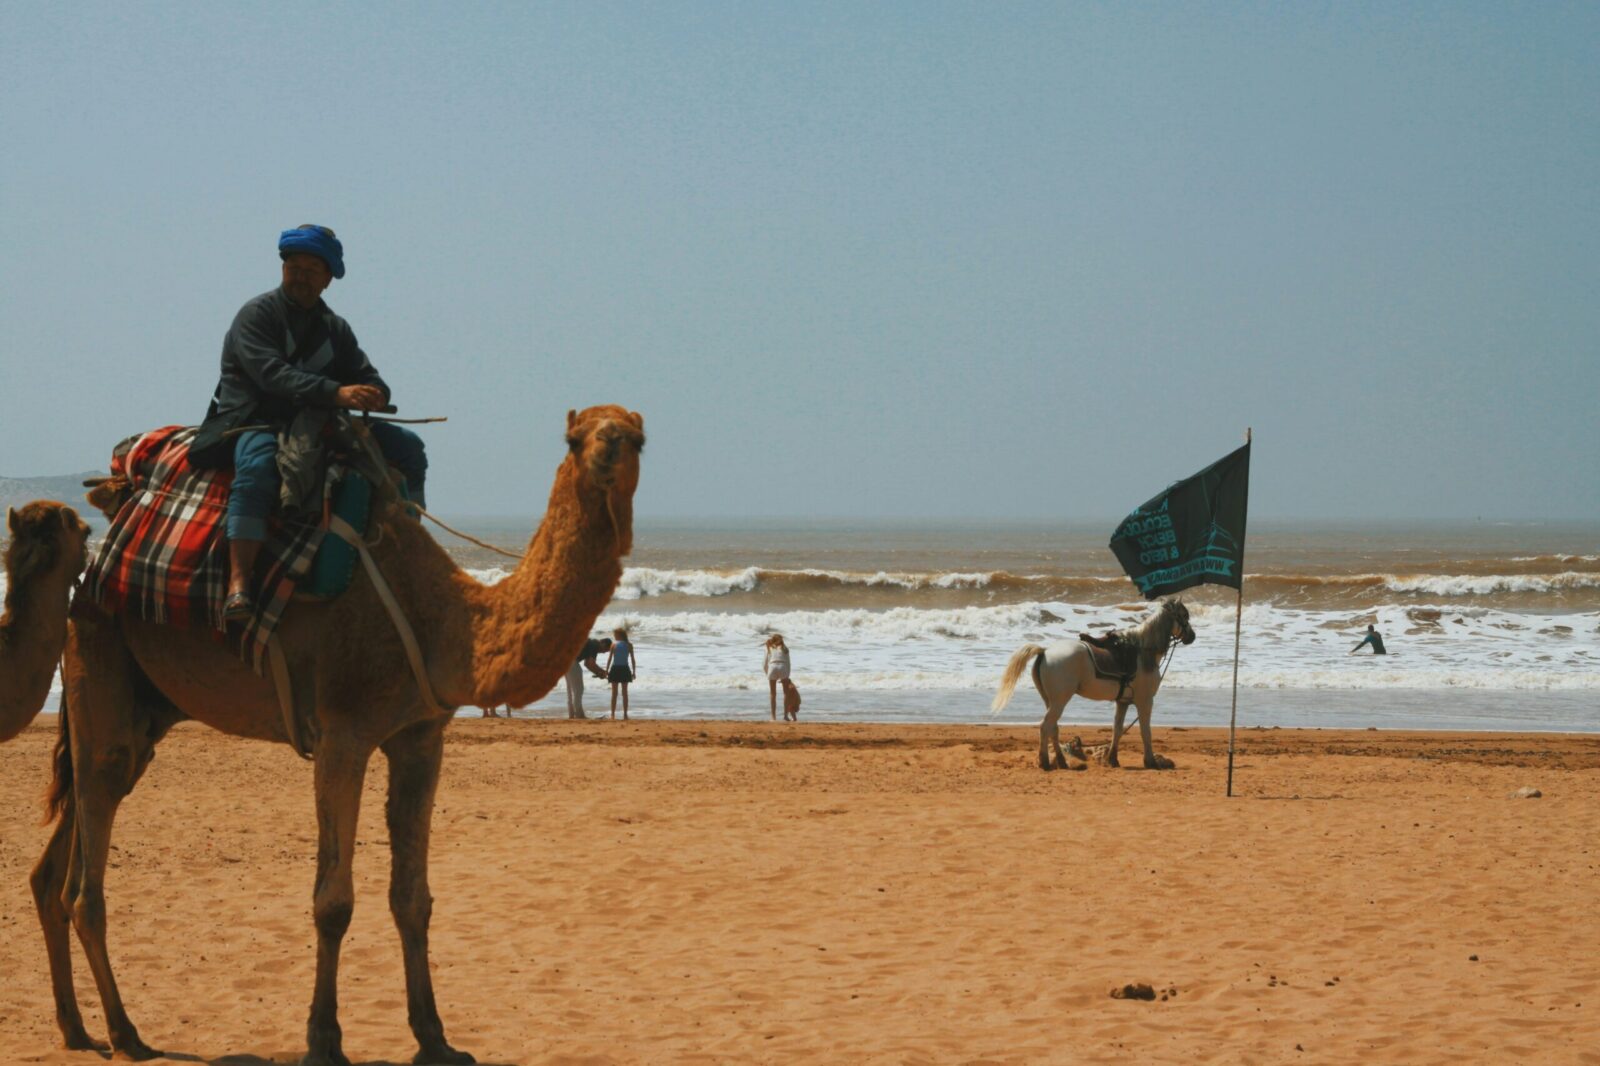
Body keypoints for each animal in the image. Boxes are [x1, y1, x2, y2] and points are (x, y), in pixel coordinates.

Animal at [33, 405, 644, 1065]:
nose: (609, 449)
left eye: (637, 437)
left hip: (144, 709)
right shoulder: (341, 732)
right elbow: (333, 901)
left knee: (56, 864)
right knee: (84, 877)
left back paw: (77, 1029)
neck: (443, 620)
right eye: (574, 438)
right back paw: (126, 1033)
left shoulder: (420, 736)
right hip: (101, 658)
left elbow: (413, 897)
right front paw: (324, 1040)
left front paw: (435, 1038)